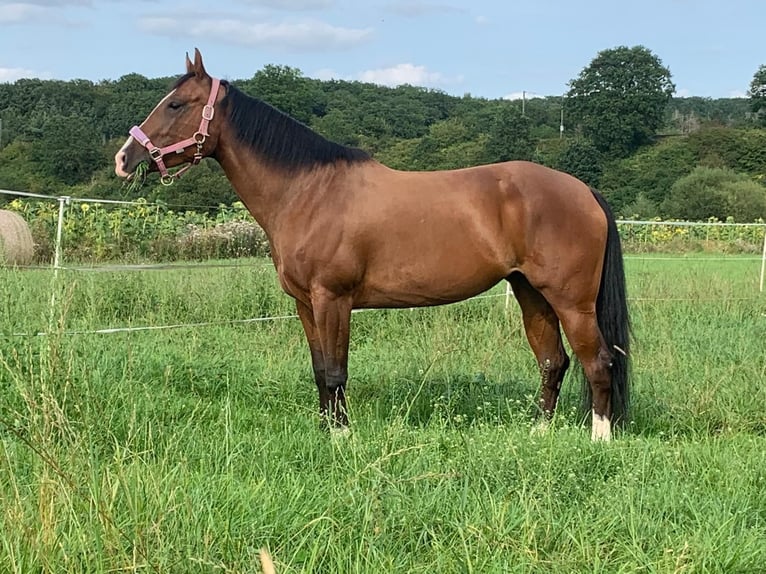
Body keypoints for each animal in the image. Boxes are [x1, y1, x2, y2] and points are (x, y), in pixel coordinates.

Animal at [114, 51, 632, 444]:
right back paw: (537, 434)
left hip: (571, 301)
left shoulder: (334, 299)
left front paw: (343, 436)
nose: (124, 158)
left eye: (176, 104)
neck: (308, 192)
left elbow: (337, 370)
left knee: (598, 362)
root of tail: (583, 190)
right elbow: (319, 369)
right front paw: (326, 431)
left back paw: (599, 440)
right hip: (531, 295)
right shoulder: (306, 304)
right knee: (553, 361)